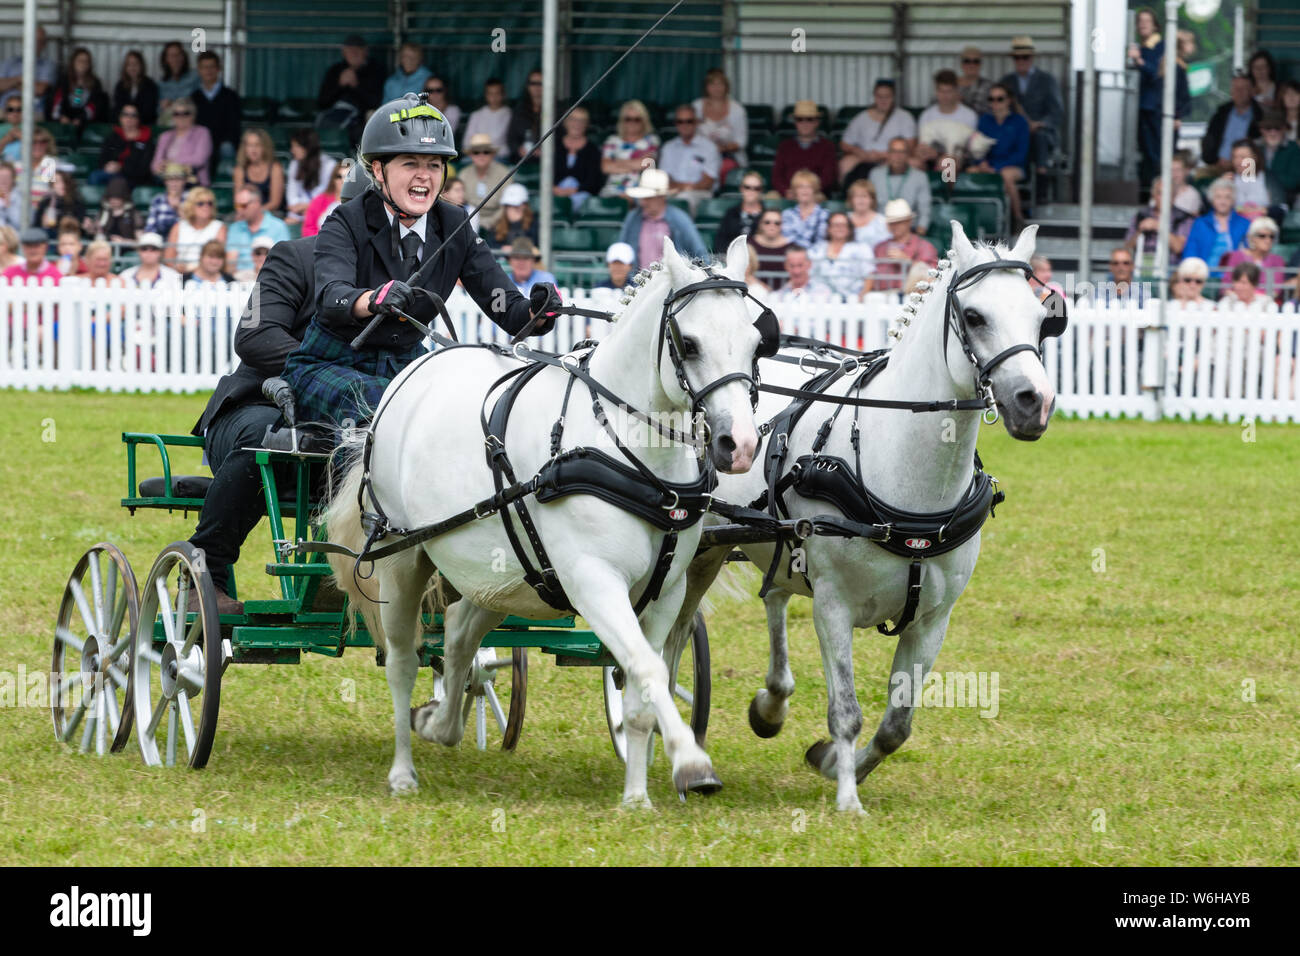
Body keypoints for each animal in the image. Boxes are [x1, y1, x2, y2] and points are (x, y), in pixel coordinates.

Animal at [325, 235, 764, 806]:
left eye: (757, 343)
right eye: (688, 344)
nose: (740, 446)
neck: (636, 462)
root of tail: (420, 366)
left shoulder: (666, 593)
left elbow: (644, 690)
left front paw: (637, 796)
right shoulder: (595, 582)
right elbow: (645, 668)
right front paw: (691, 762)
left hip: (500, 573)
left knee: (460, 635)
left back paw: (441, 723)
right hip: (402, 559)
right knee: (402, 659)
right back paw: (403, 770)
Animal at [670, 223, 1055, 816]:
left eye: (1041, 318)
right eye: (974, 317)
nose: (1034, 402)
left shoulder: (933, 619)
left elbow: (898, 723)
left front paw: (831, 762)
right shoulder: (833, 605)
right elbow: (846, 711)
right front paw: (848, 798)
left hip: (780, 539)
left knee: (774, 597)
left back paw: (771, 705)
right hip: (703, 550)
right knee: (673, 633)